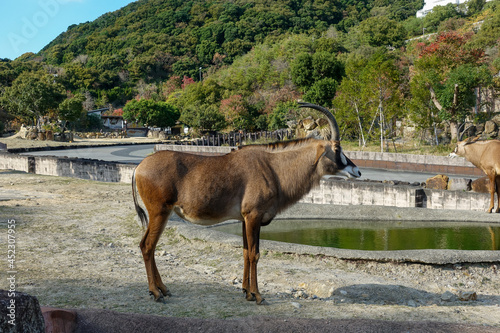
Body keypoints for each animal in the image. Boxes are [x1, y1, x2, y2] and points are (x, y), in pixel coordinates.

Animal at [131, 102, 362, 302]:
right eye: (338, 149)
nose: (357, 171)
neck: (273, 168)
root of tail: (139, 167)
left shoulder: (244, 220)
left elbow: (244, 252)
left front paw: (245, 291)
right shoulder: (253, 216)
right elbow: (254, 254)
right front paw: (257, 295)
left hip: (162, 214)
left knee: (147, 245)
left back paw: (163, 289)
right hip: (159, 212)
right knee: (147, 246)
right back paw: (156, 292)